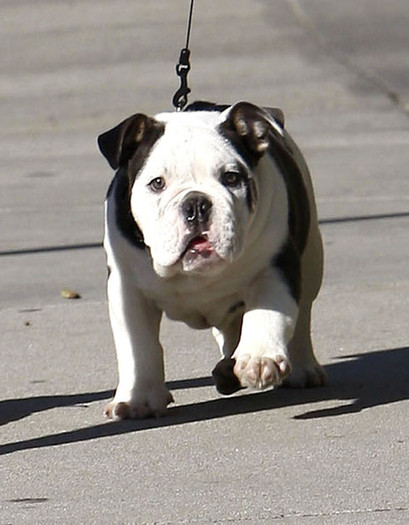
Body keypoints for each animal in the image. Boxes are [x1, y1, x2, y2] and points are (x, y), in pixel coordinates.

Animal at [96, 102, 326, 420]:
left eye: (231, 178)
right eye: (157, 183)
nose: (196, 203)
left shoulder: (277, 266)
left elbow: (267, 313)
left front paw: (258, 358)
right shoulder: (127, 288)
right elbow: (138, 346)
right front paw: (138, 399)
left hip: (312, 258)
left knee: (302, 315)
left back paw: (301, 368)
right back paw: (226, 370)